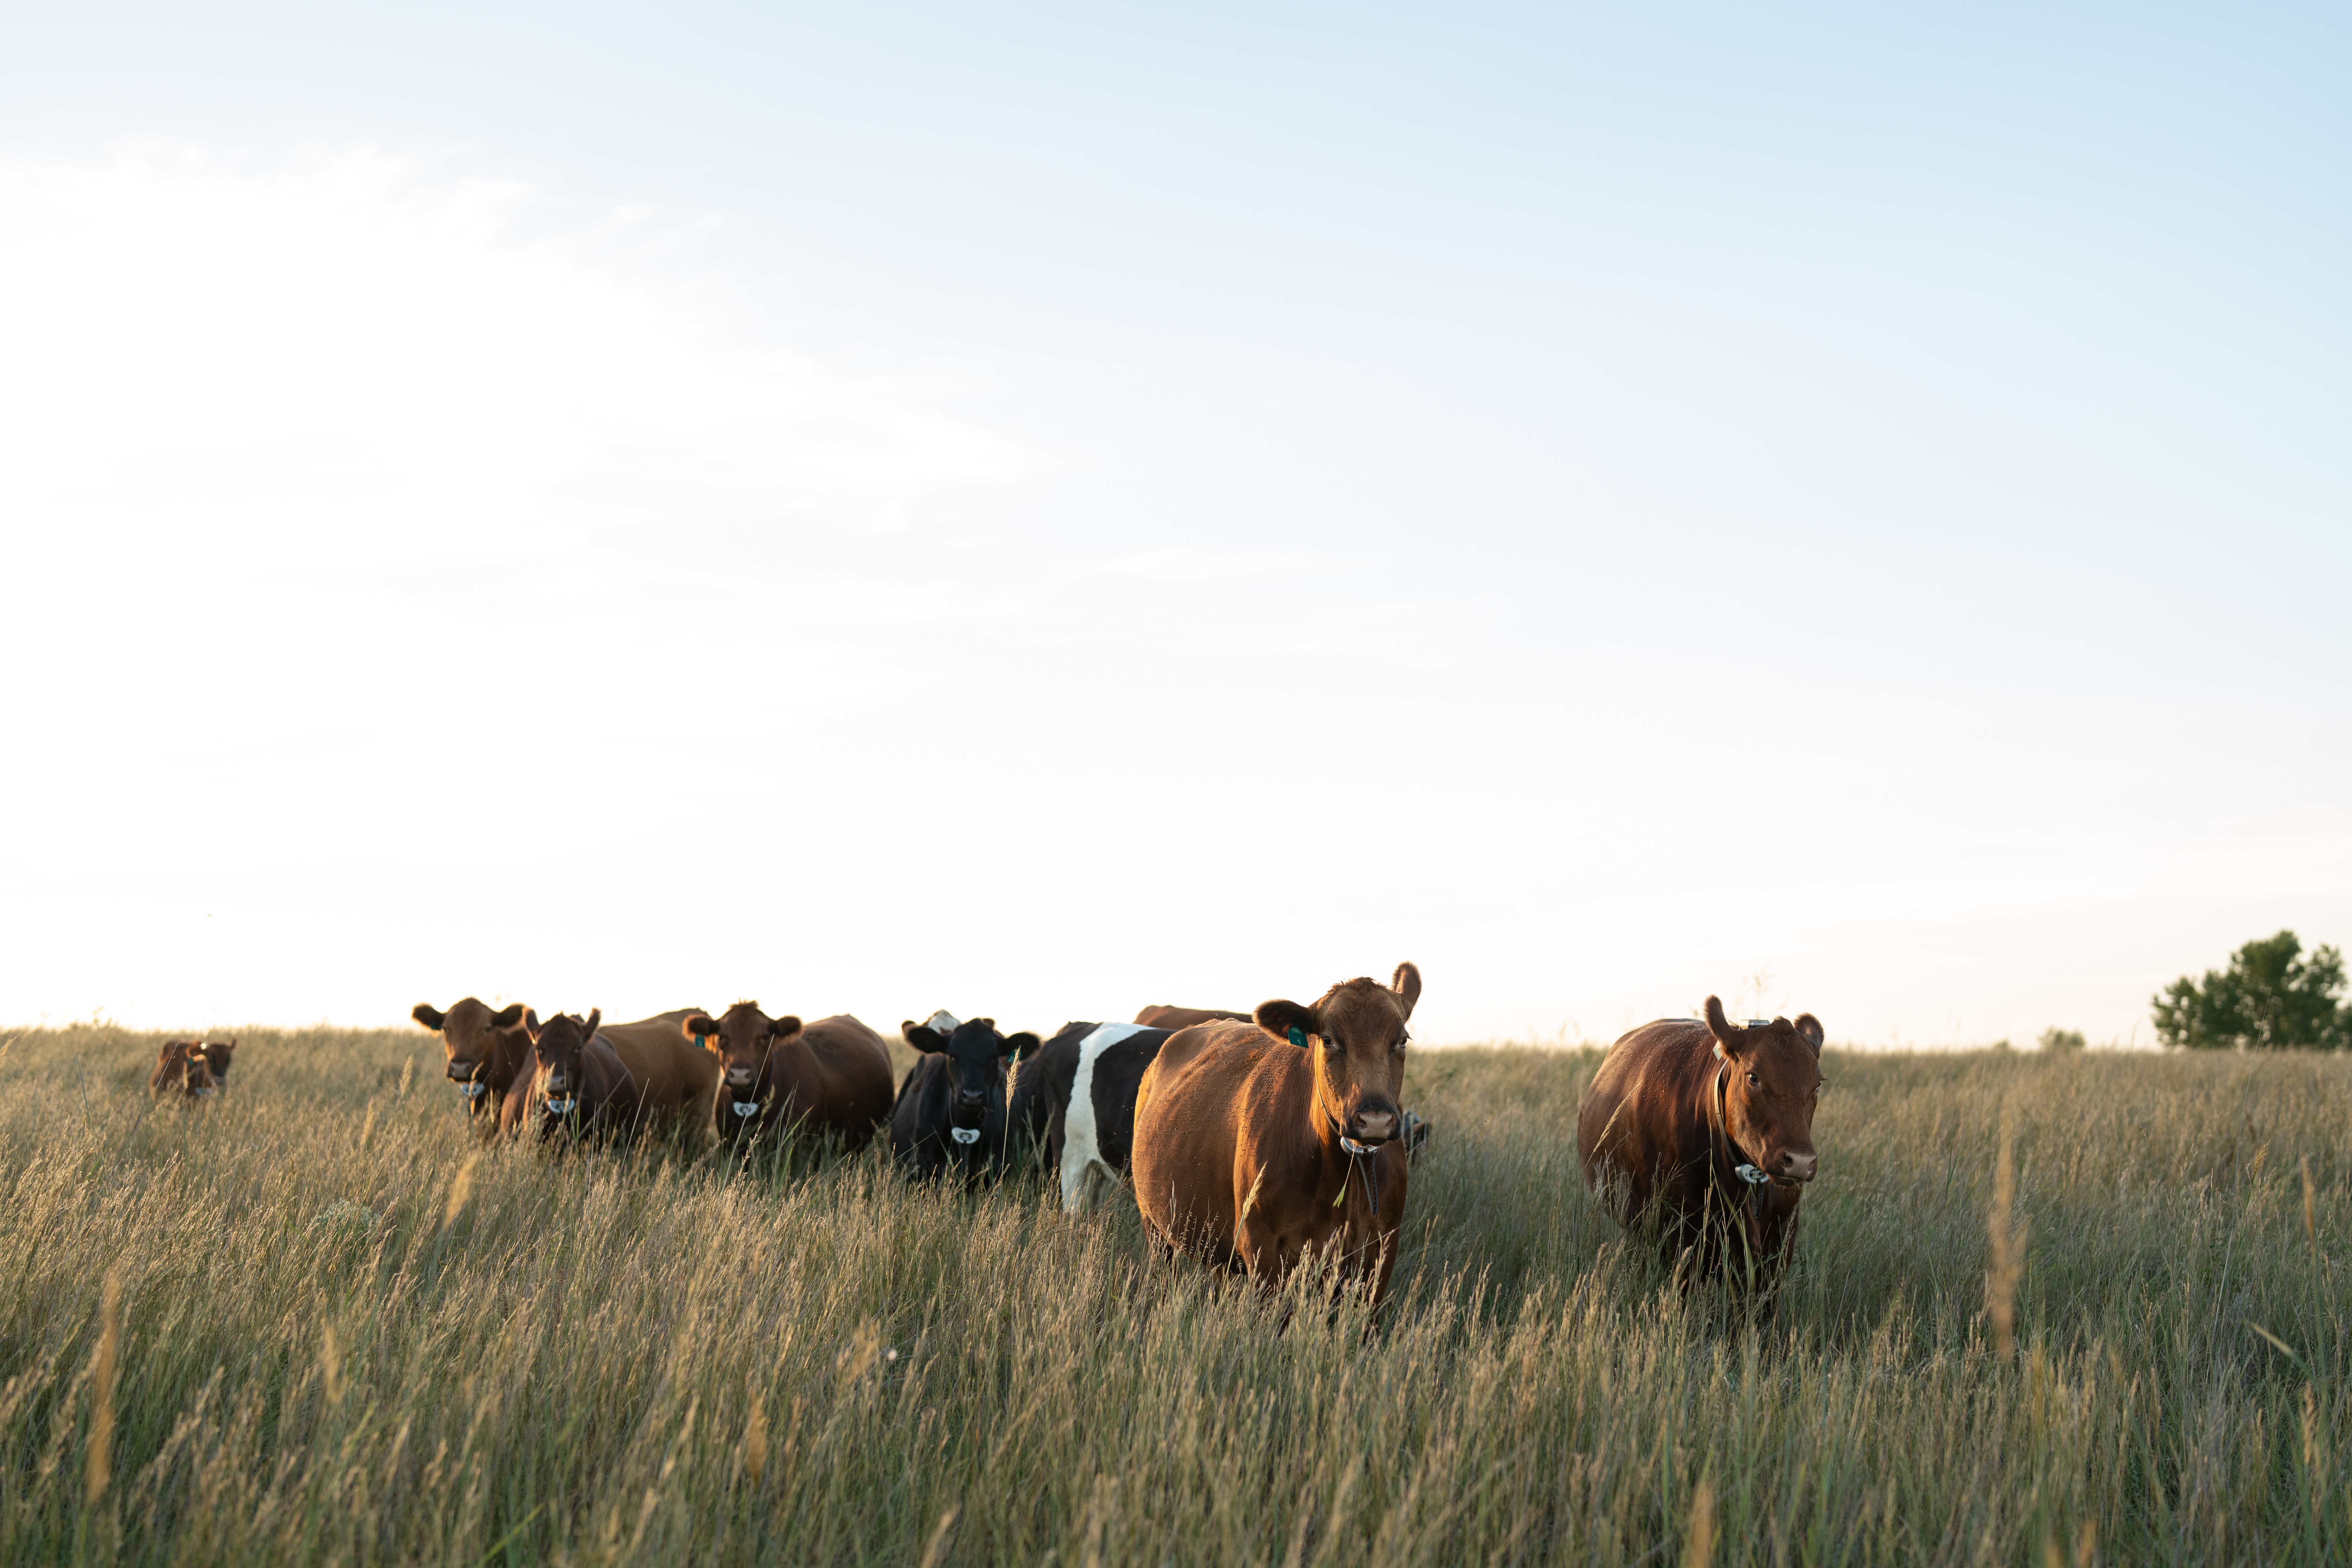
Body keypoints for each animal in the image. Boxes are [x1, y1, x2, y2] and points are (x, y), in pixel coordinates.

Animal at [891, 1013, 1041, 1183]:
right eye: (952, 1056)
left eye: (994, 1057)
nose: (972, 1096)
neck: (967, 1124)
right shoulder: (920, 1170)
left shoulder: (996, 1170)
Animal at [1130, 962, 1421, 1311]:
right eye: (1328, 1040)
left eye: (1402, 1040)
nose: (1374, 1119)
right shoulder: (1264, 1254)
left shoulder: (1380, 1258)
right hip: (1154, 1225)